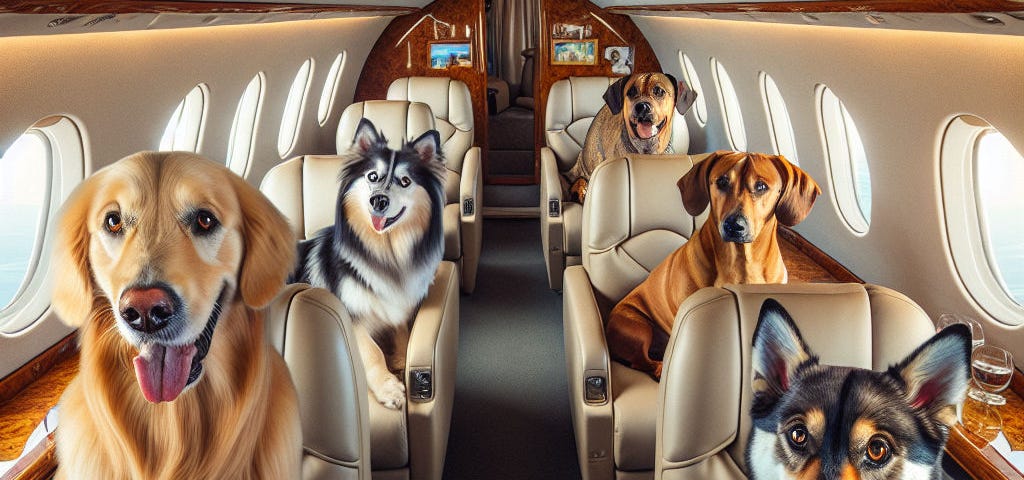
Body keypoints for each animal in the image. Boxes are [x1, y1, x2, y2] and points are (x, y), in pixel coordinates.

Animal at [290, 117, 446, 407]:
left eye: (405, 181)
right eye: (372, 176)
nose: (379, 200)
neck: (386, 251)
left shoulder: (396, 306)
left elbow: (402, 331)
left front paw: (400, 358)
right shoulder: (351, 316)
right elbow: (373, 351)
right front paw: (389, 388)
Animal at [602, 149, 819, 378]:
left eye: (761, 187)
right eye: (722, 181)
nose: (734, 225)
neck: (741, 262)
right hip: (637, 327)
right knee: (642, 361)